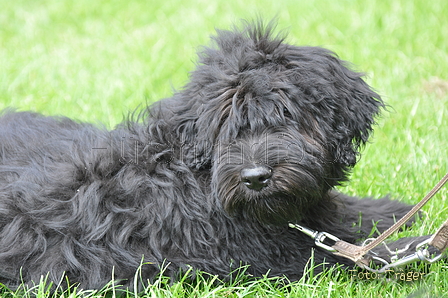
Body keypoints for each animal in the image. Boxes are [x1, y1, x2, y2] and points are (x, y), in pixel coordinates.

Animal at [0, 22, 420, 288]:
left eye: (286, 115)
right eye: (224, 128)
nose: (255, 178)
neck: (194, 177)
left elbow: (342, 215)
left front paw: (393, 211)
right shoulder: (259, 259)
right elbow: (341, 258)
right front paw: (407, 249)